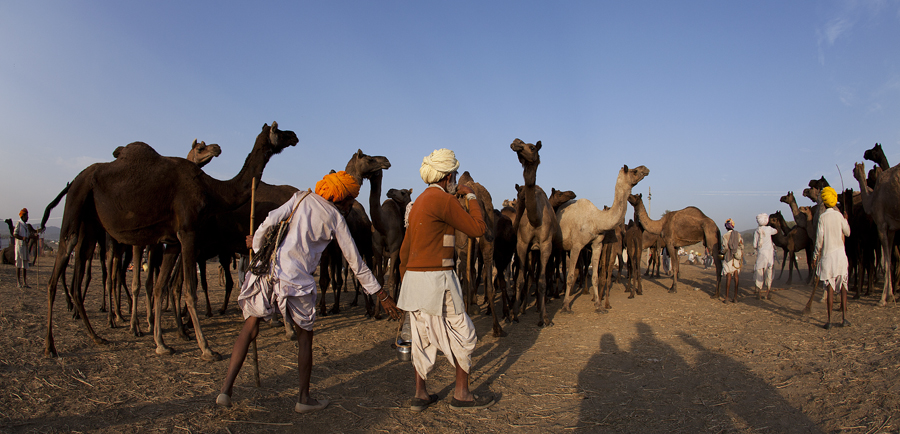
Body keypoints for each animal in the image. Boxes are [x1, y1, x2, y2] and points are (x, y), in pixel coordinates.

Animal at [44, 122, 298, 360]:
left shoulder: (173, 242)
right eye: (279, 130)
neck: (212, 189)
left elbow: (159, 287)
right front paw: (207, 349)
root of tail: (74, 181)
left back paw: (97, 335)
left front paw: (161, 344)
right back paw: (52, 345)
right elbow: (189, 290)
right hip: (78, 205)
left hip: (92, 223)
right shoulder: (187, 232)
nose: (294, 136)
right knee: (60, 269)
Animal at [509, 139, 562, 326]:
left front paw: (545, 318)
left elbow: (542, 281)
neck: (536, 219)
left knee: (543, 274)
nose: (516, 143)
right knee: (531, 275)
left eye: (532, 147)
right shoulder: (522, 244)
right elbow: (520, 280)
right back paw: (527, 307)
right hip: (532, 251)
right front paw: (514, 313)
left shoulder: (545, 245)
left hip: (549, 249)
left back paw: (540, 307)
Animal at [557, 165, 648, 312]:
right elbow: (570, 276)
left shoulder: (597, 244)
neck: (596, 220)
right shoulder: (576, 245)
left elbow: (595, 276)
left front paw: (599, 306)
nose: (645, 169)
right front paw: (565, 306)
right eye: (634, 171)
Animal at [853, 162, 900, 306]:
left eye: (854, 169)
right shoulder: (891, 228)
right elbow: (889, 257)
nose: (854, 172)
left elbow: (887, 260)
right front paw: (890, 296)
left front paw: (882, 299)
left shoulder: (881, 224)